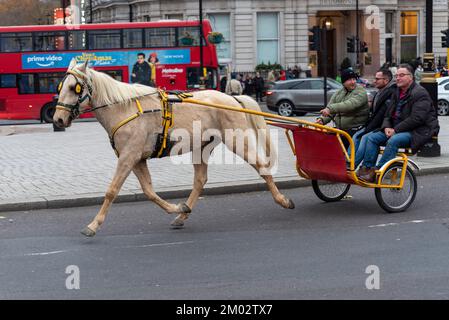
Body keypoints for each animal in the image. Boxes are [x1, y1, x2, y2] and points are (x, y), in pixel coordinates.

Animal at [53, 58, 294, 236]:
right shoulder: (137, 159)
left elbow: (112, 191)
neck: (124, 108)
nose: (58, 120)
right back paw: (183, 214)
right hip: (201, 147)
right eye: (61, 87)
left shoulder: (129, 156)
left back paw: (282, 200)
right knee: (200, 181)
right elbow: (149, 192)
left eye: (74, 88)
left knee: (261, 166)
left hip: (237, 140)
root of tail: (233, 98)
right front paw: (176, 208)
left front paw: (94, 225)